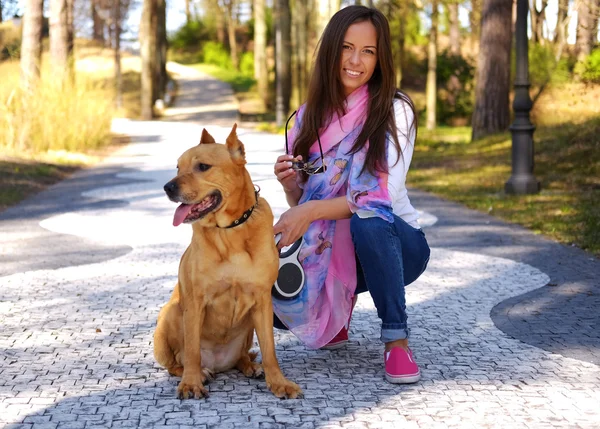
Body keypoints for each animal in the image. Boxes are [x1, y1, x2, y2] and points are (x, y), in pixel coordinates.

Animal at [155, 125, 302, 400]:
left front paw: (278, 382)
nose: (167, 187)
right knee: (177, 362)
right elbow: (192, 350)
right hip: (170, 314)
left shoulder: (262, 301)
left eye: (202, 166)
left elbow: (270, 350)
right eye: (178, 167)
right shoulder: (195, 302)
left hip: (248, 326)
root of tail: (219, 363)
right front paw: (191, 383)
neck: (229, 231)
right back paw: (199, 372)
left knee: (243, 357)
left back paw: (251, 367)